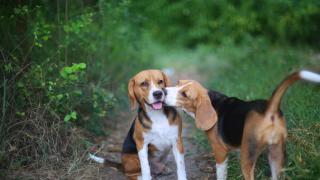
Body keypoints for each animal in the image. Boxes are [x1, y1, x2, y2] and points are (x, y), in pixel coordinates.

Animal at [164, 69, 320, 179]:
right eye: (177, 82)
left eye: (185, 94)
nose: (163, 91)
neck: (213, 102)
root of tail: (269, 108)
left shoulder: (220, 152)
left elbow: (221, 174)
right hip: (276, 154)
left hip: (248, 158)